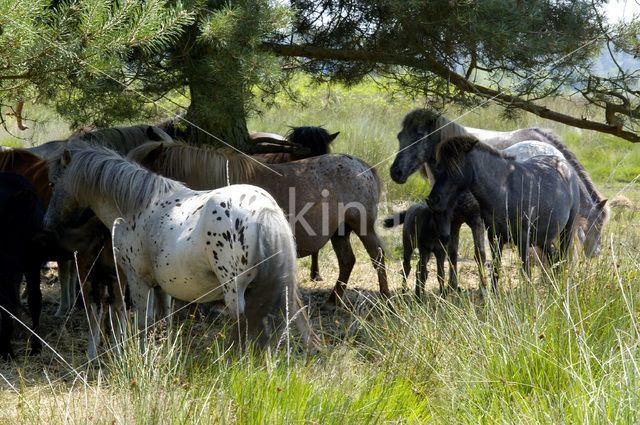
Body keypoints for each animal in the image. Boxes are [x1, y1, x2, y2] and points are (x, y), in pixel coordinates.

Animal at [43, 142, 316, 354]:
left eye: (53, 184)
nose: (48, 222)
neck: (136, 207)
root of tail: (262, 208)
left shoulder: (137, 281)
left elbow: (141, 323)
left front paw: (141, 357)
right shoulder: (161, 287)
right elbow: (162, 320)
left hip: (234, 291)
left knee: (246, 327)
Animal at [124, 142, 384, 308]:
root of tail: (364, 167)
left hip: (363, 226)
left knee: (377, 256)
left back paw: (386, 298)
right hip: (339, 232)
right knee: (347, 261)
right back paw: (332, 302)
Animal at [428, 136, 584, 292]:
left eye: (454, 168)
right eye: (438, 168)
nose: (433, 199)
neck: (504, 190)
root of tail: (564, 164)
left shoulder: (523, 237)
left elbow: (525, 270)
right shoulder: (494, 235)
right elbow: (495, 267)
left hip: (566, 231)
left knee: (562, 258)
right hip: (543, 237)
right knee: (554, 259)